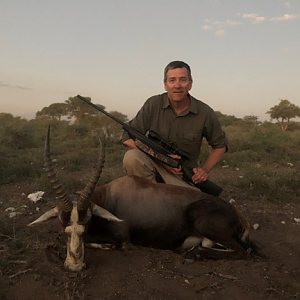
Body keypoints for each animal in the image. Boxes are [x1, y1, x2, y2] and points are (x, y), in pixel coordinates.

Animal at [29, 127, 258, 274]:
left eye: (87, 221)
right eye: (63, 224)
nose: (74, 267)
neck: (111, 194)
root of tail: (239, 215)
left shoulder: (123, 240)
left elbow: (107, 244)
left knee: (243, 252)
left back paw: (194, 254)